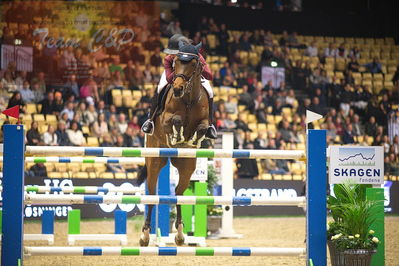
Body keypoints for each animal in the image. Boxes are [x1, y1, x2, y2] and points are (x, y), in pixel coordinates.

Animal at [138, 42, 209, 246]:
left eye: (194, 64)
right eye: (175, 62)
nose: (177, 89)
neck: (189, 99)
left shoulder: (204, 121)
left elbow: (202, 128)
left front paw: (192, 140)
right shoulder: (166, 120)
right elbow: (175, 120)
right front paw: (177, 136)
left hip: (186, 167)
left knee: (178, 193)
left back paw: (179, 234)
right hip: (155, 160)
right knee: (152, 194)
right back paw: (145, 235)